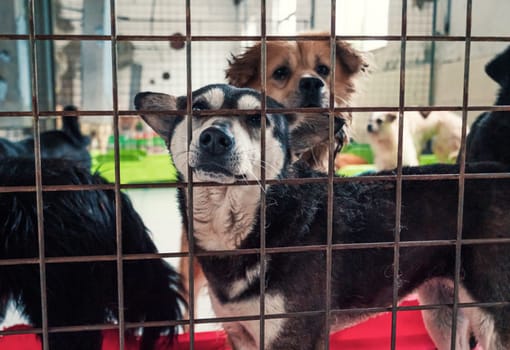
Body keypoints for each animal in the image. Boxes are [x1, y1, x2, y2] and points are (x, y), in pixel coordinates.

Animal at [137, 84, 510, 350]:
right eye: (198, 108)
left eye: (257, 118)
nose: (215, 137)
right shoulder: (240, 333)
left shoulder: (293, 335)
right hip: (441, 310)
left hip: (493, 318)